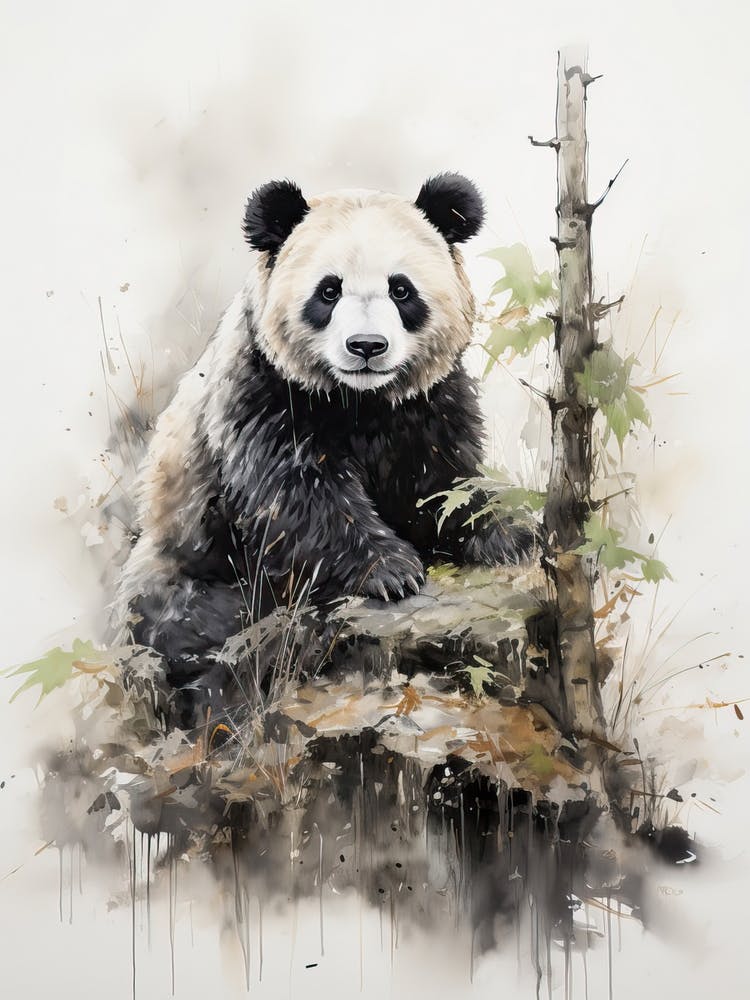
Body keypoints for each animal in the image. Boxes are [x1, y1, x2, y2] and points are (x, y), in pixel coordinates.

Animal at [117, 173, 536, 724]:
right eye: (329, 291)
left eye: (401, 289)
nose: (367, 346)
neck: (361, 400)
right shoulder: (264, 391)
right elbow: (296, 493)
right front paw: (392, 572)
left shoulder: (428, 404)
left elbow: (444, 483)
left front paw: (510, 534)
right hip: (182, 567)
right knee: (199, 625)